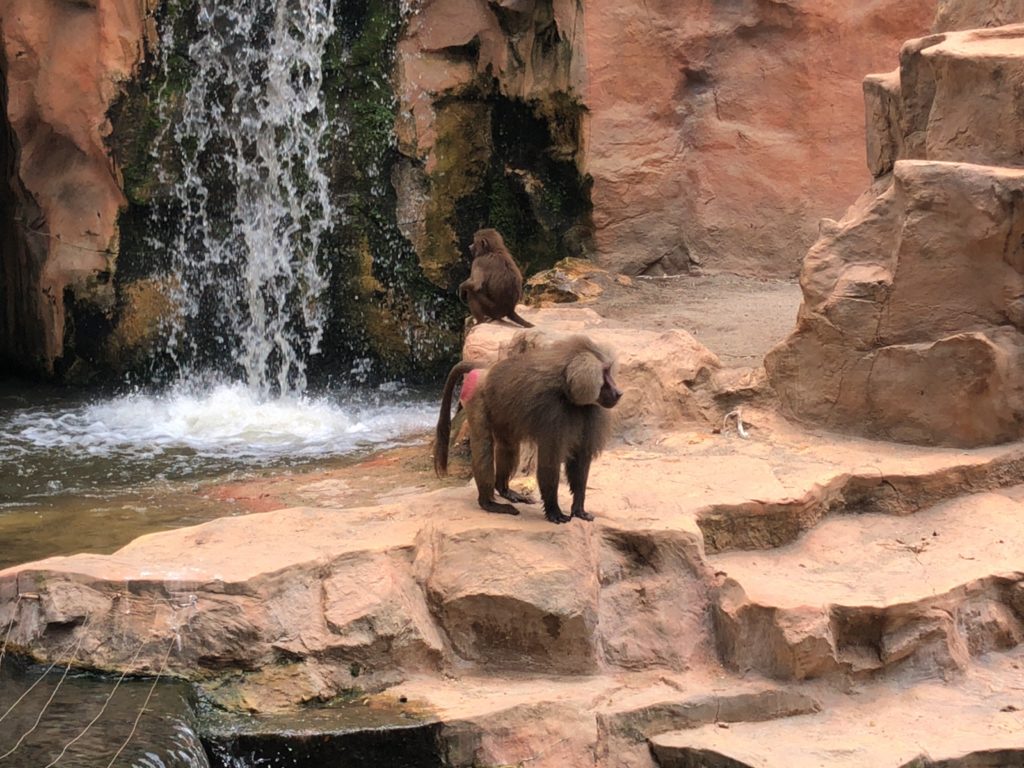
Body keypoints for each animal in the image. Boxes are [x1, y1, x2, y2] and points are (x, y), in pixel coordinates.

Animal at [434, 335, 618, 524]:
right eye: (605, 372)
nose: (618, 393)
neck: (567, 388)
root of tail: (487, 369)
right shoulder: (552, 412)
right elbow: (549, 462)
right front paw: (554, 511)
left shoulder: (590, 410)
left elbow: (580, 459)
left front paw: (579, 510)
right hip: (477, 397)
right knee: (483, 446)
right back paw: (489, 503)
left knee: (507, 446)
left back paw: (505, 490)